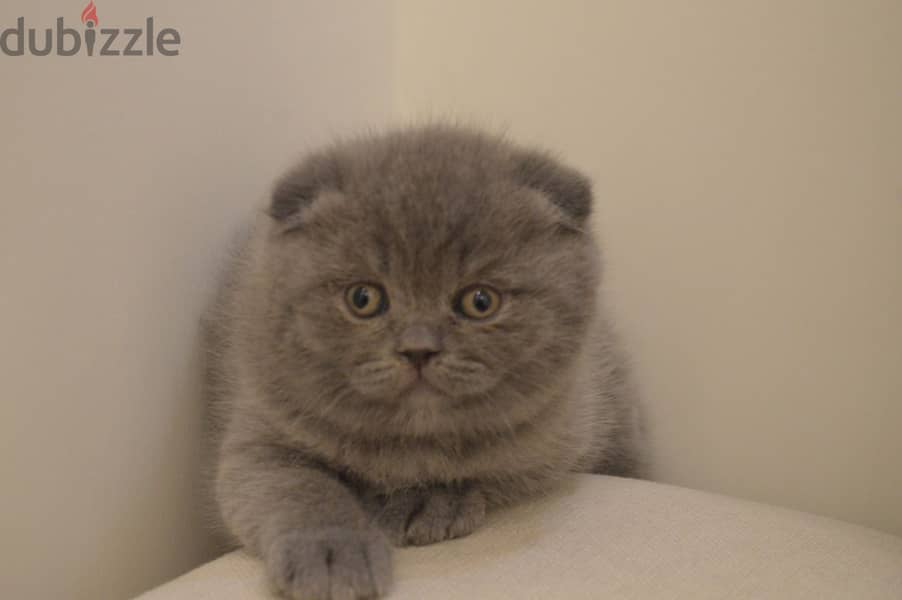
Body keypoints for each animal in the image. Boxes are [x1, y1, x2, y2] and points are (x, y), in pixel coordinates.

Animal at [207, 126, 644, 600]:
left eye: (480, 301)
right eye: (363, 298)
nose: (418, 349)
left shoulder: (558, 435)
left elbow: (485, 469)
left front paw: (428, 499)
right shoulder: (261, 429)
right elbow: (301, 488)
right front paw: (331, 556)